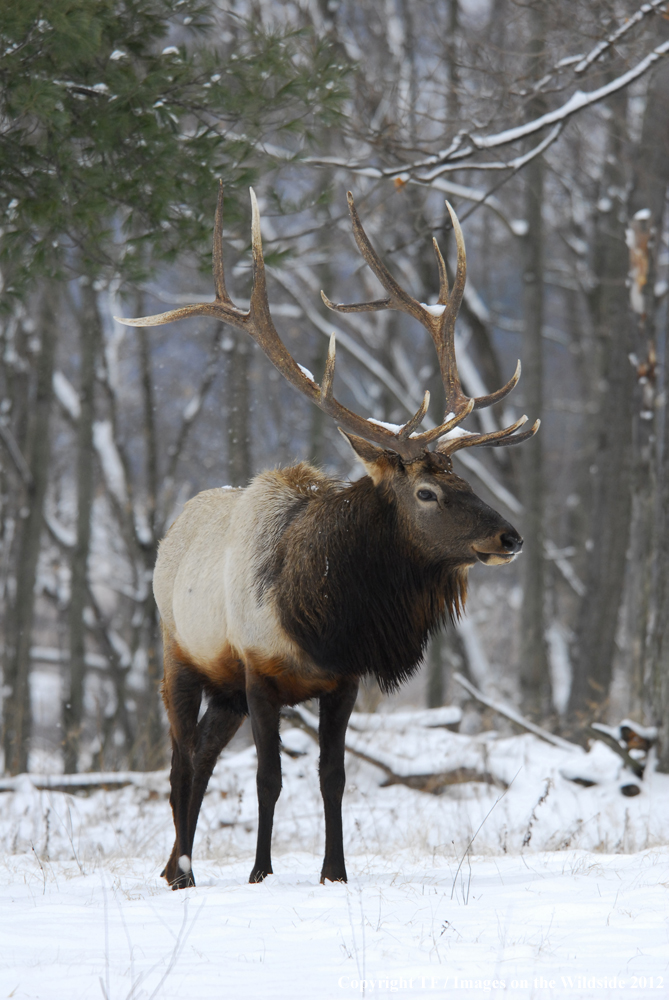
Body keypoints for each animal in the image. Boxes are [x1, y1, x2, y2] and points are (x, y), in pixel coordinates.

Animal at [118, 188, 536, 892]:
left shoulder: (342, 681)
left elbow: (333, 778)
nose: (509, 536)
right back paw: (180, 870)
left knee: (201, 755)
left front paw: (334, 872)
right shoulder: (258, 672)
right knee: (178, 758)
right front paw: (261, 871)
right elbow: (269, 777)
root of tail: (173, 530)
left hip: (224, 692)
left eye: (466, 478)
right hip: (181, 654)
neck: (322, 614)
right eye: (427, 492)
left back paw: (179, 864)